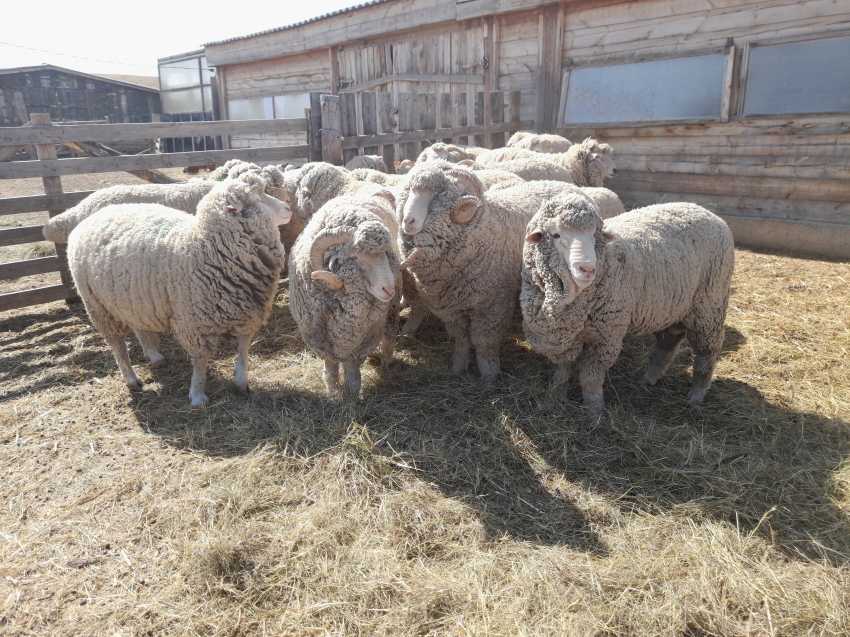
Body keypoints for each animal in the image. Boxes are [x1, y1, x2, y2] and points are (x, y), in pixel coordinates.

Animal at [68, 171, 292, 404]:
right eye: (256, 200)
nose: (288, 208)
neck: (208, 245)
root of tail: (93, 216)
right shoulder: (196, 323)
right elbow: (201, 361)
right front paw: (197, 395)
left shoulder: (247, 312)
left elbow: (243, 350)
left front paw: (241, 382)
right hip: (98, 305)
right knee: (117, 344)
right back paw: (131, 377)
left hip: (133, 298)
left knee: (138, 325)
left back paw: (153, 355)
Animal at [288, 190, 400, 398]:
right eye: (354, 257)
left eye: (386, 254)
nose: (389, 289)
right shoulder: (318, 337)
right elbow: (331, 366)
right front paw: (332, 390)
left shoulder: (366, 337)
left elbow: (351, 368)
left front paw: (353, 394)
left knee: (390, 331)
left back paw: (387, 360)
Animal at [520, 195, 732, 418]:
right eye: (556, 235)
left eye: (594, 235)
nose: (587, 269)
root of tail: (703, 209)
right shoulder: (562, 335)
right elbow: (562, 370)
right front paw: (556, 396)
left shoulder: (606, 336)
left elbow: (591, 379)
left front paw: (594, 411)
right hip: (670, 307)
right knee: (668, 343)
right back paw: (650, 378)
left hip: (709, 305)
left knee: (706, 353)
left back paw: (697, 394)